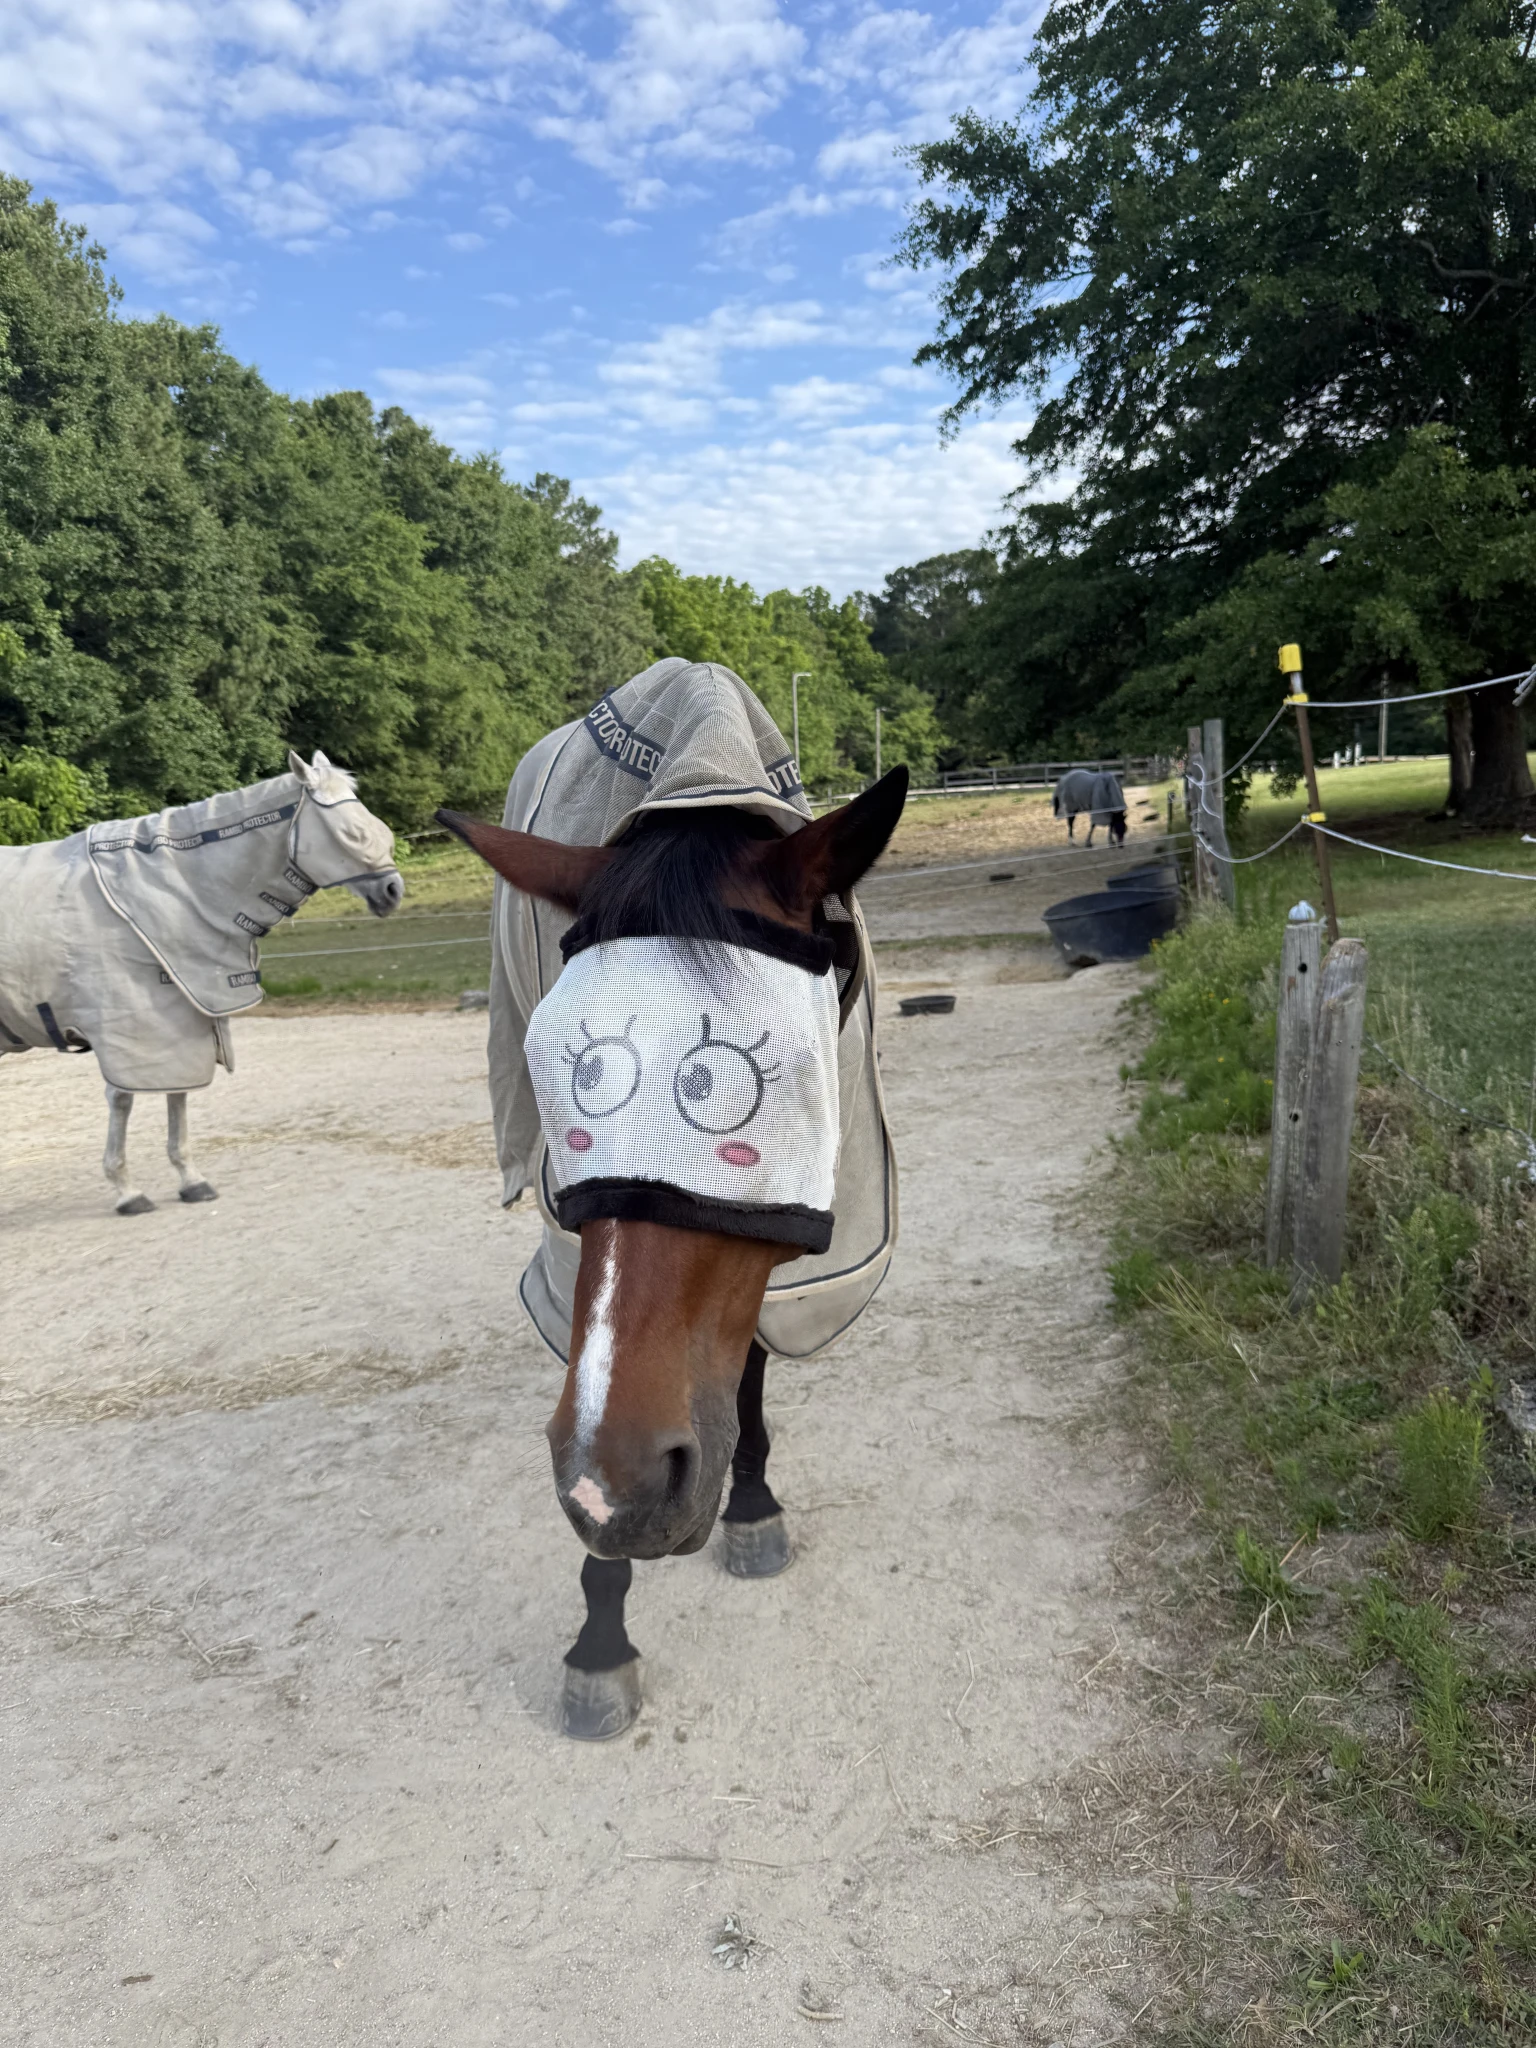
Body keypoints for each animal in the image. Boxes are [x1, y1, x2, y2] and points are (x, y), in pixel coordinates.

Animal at [0, 750, 402, 1213]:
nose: (393, 890)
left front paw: (190, 1179)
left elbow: (179, 1096)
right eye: (353, 833)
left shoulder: (182, 1021)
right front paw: (126, 1190)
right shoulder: (127, 1030)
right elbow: (123, 1099)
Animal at [440, 657, 903, 1739]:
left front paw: (751, 1500)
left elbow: (752, 1354)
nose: (620, 1485)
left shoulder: (789, 1229)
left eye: (757, 1084)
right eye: (572, 1077)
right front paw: (600, 1643)